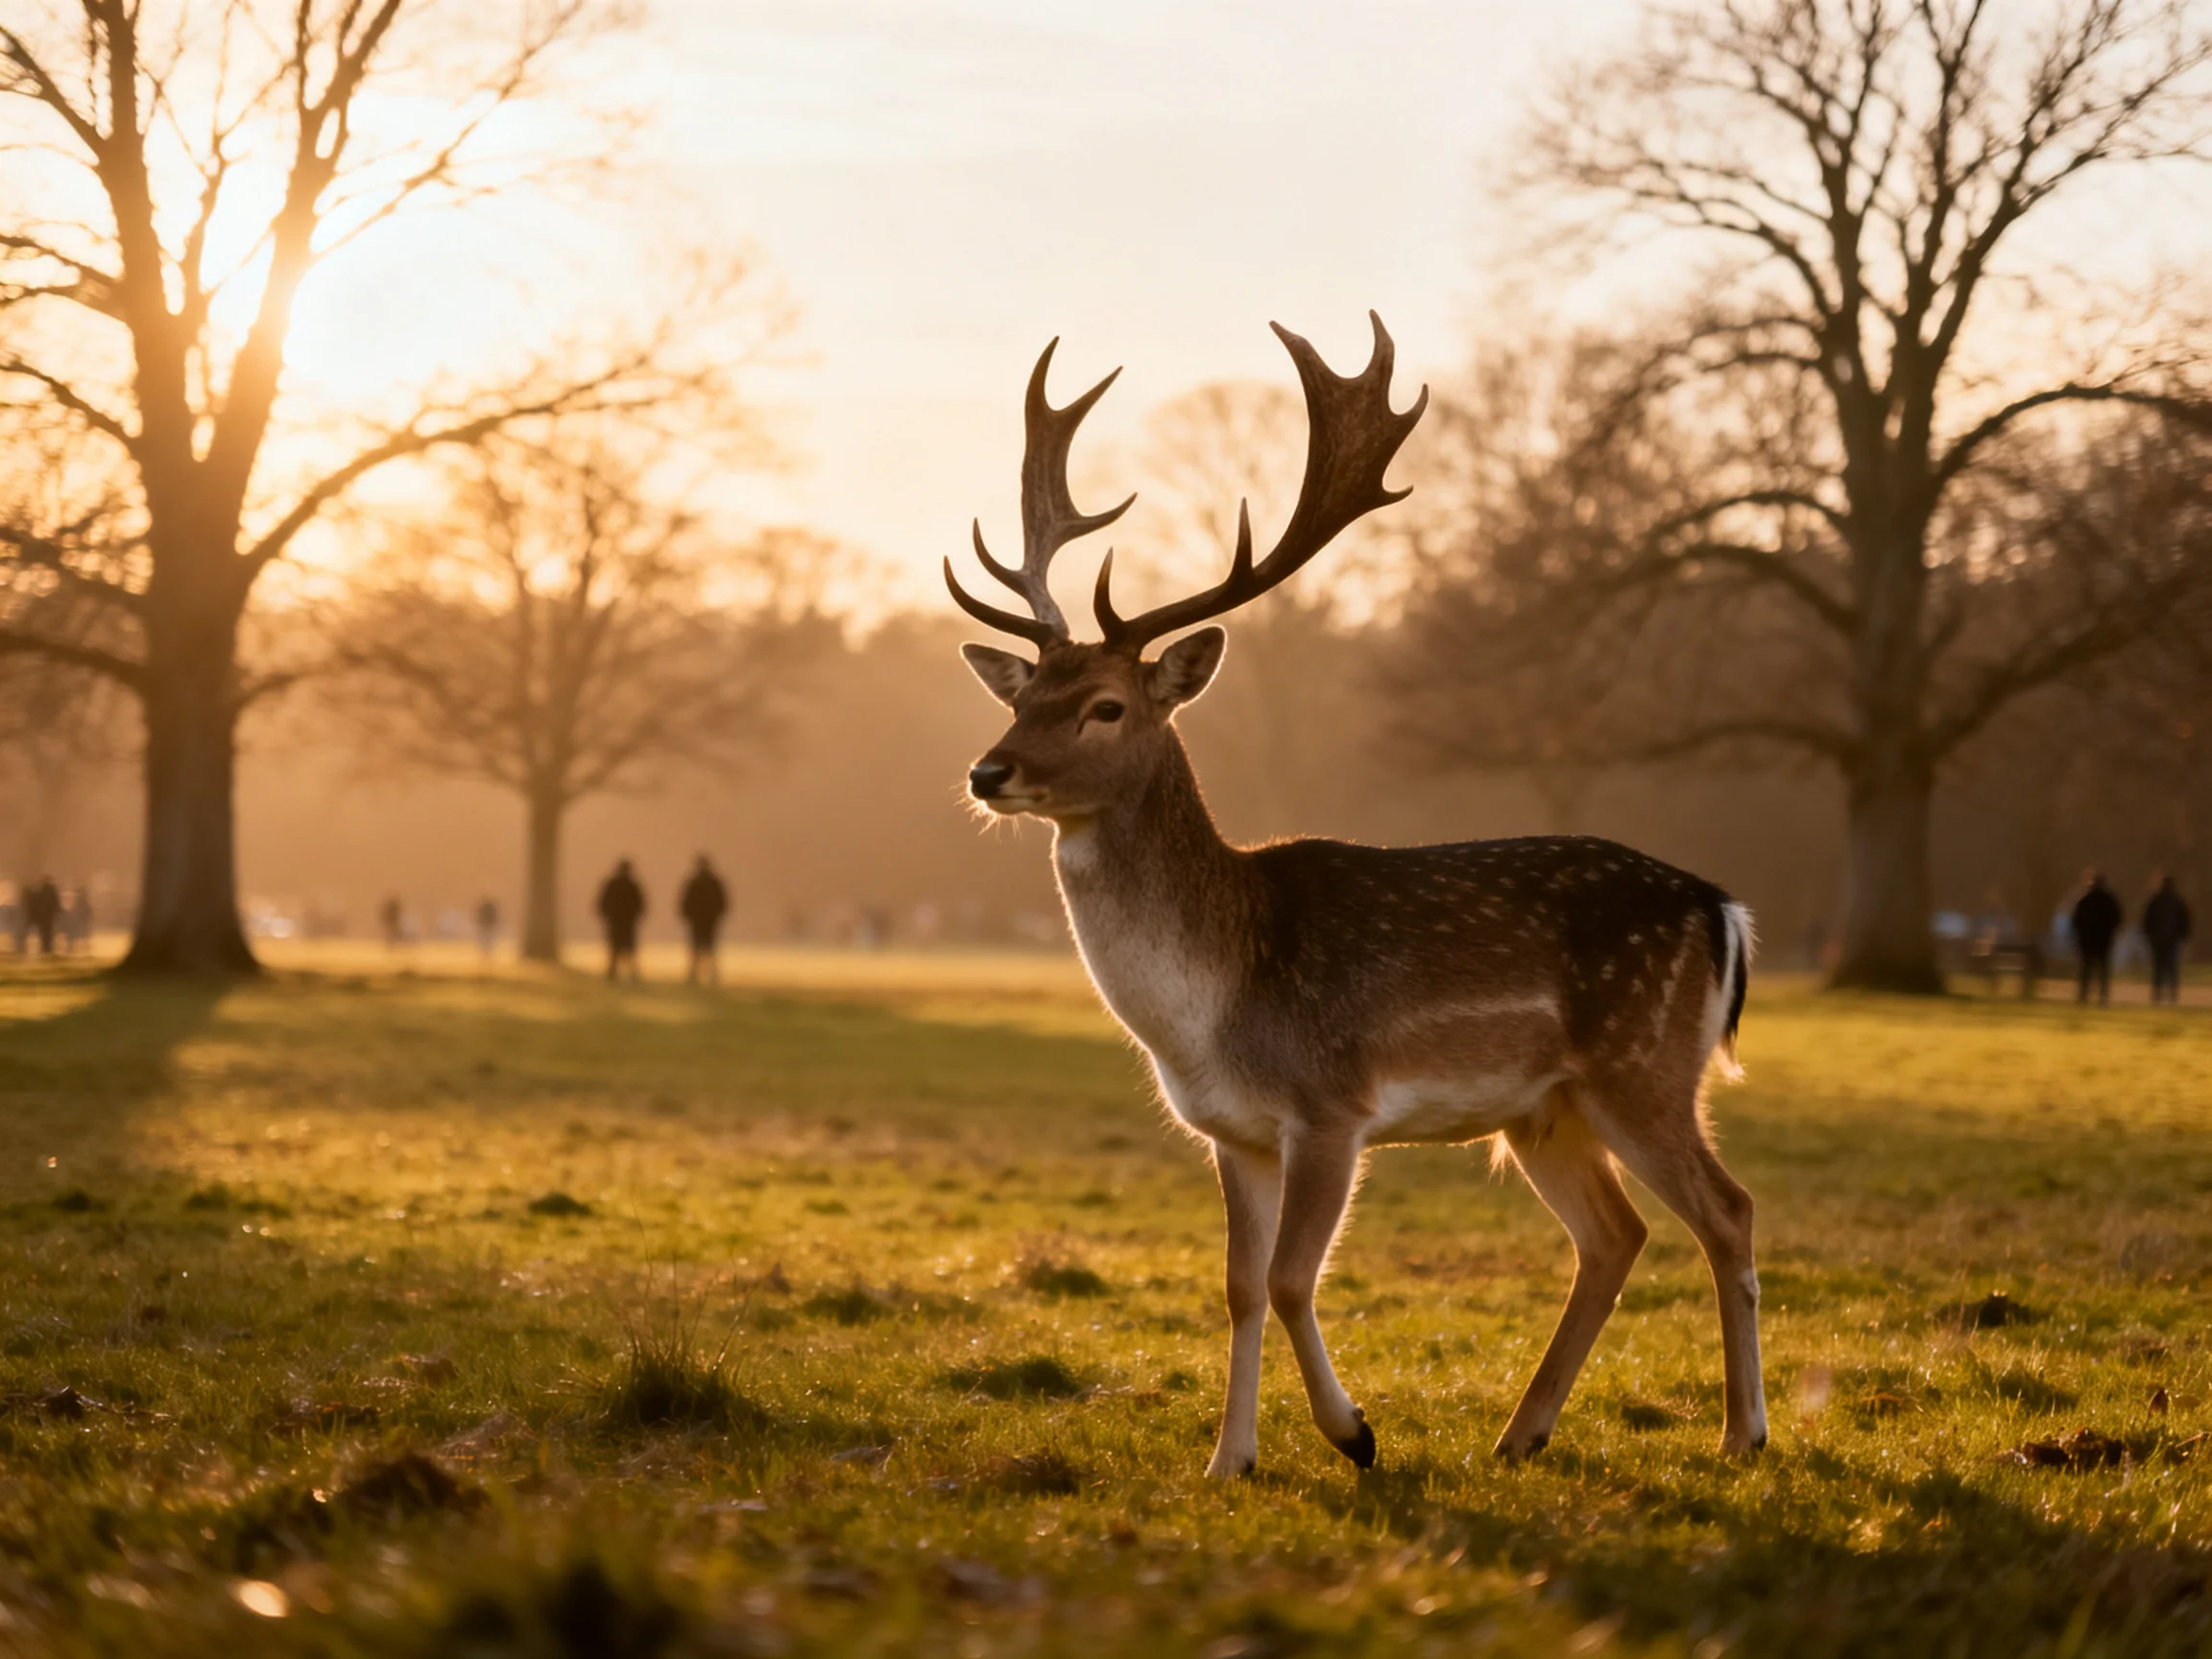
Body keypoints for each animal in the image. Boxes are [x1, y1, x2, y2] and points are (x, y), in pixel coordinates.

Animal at [947, 314, 1765, 1477]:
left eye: (1105, 705)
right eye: (1026, 695)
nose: (988, 771)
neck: (1211, 1011)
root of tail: (1720, 908)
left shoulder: (1332, 1105)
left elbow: (1294, 1280)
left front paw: (1354, 1432)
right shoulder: (1231, 1133)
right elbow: (1239, 1287)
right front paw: (1228, 1462)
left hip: (1643, 1066)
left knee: (1727, 1212)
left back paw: (1743, 1433)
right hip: (1548, 1109)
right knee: (1617, 1235)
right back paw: (1521, 1434)